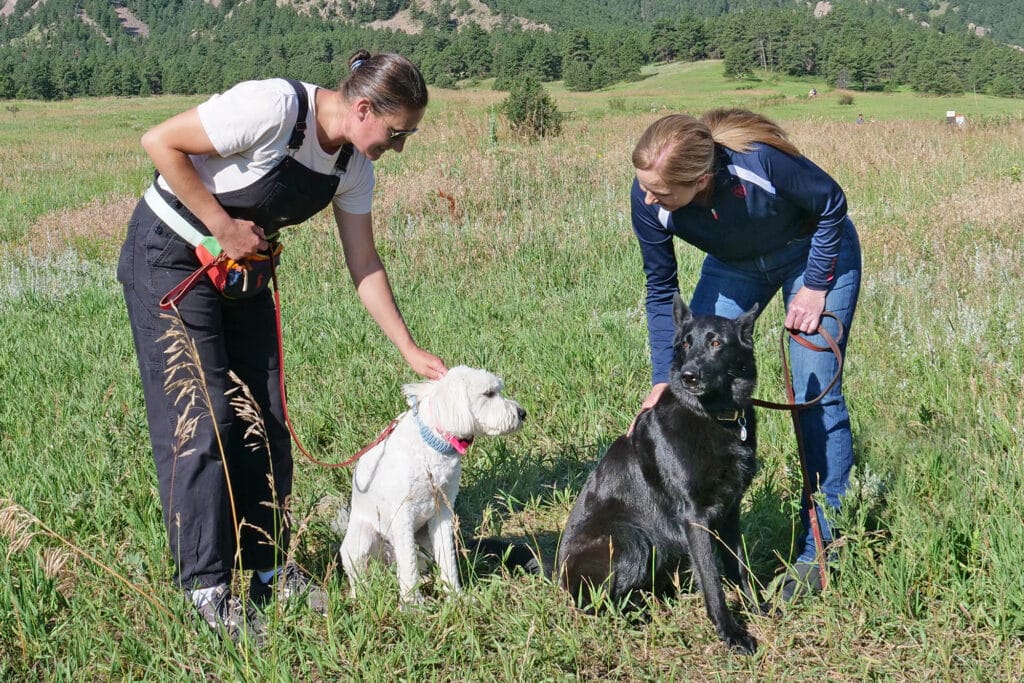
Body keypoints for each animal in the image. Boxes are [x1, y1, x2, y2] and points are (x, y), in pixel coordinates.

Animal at [337, 366, 524, 602]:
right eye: (489, 394)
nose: (522, 413)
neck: (432, 444)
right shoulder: (403, 515)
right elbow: (408, 565)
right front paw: (413, 604)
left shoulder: (442, 510)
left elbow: (447, 558)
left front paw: (455, 596)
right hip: (362, 541)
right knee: (362, 576)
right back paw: (362, 596)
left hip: (423, 541)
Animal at [552, 294, 761, 655]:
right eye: (686, 343)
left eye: (716, 343)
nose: (689, 376)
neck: (712, 416)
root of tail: (558, 572)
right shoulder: (694, 518)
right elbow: (712, 579)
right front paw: (730, 633)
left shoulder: (729, 513)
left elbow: (739, 566)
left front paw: (758, 608)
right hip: (630, 539)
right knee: (598, 602)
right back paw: (639, 610)